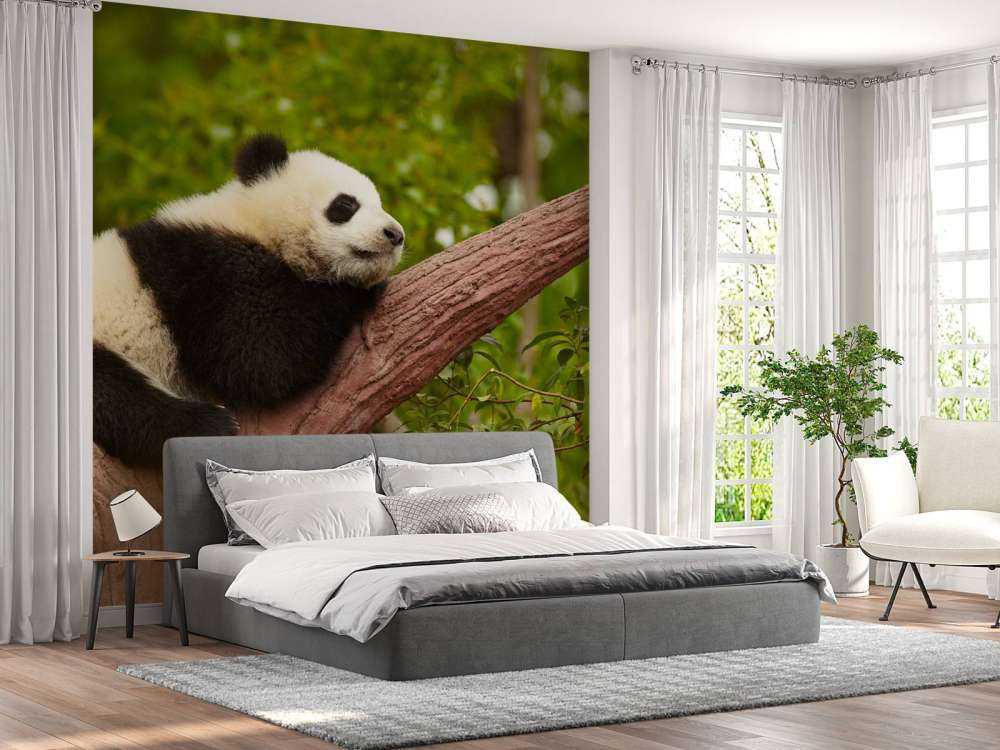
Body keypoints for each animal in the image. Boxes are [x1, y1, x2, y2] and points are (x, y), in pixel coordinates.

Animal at [93, 134, 405, 467]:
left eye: (380, 204)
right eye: (345, 205)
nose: (395, 234)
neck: (253, 219)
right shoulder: (206, 270)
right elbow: (261, 356)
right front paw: (356, 291)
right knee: (115, 394)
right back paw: (207, 424)